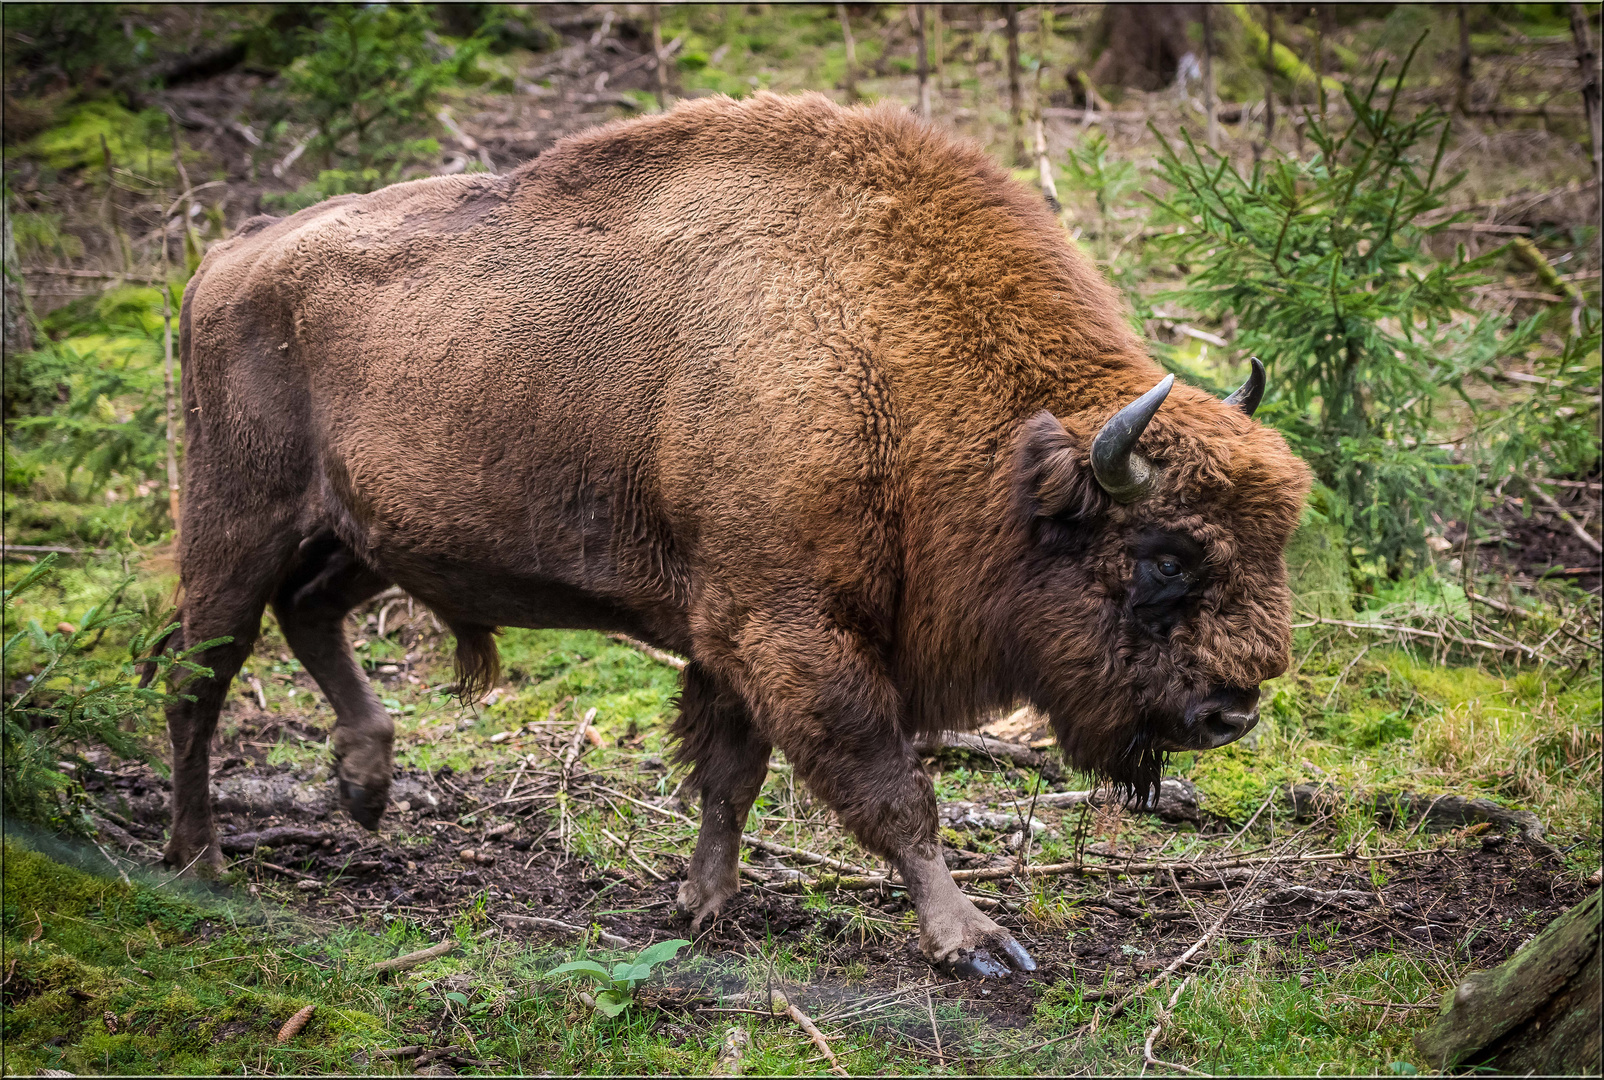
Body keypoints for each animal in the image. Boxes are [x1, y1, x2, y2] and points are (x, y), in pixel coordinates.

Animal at [166, 92, 1302, 975]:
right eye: (1165, 556)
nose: (1232, 710)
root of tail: (228, 258)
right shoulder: (789, 630)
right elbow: (894, 793)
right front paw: (974, 941)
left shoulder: (733, 633)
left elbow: (730, 775)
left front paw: (703, 907)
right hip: (236, 522)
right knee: (200, 676)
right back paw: (200, 860)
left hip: (363, 539)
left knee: (306, 616)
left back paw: (363, 786)